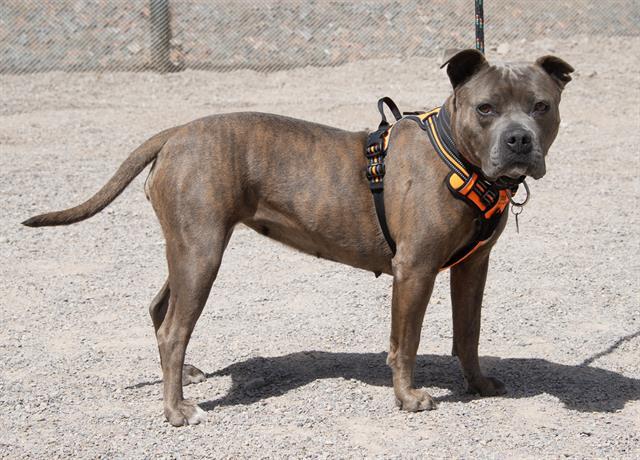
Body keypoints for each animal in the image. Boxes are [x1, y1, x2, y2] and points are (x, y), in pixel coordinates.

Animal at [25, 48, 576, 426]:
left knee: (161, 310)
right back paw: (178, 410)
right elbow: (407, 342)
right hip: (202, 252)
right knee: (174, 329)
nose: (519, 140)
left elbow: (469, 333)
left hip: (185, 250)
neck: (459, 158)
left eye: (541, 106)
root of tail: (175, 132)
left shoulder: (472, 267)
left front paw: (477, 384)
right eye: (486, 109)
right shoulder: (415, 270)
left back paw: (185, 378)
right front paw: (408, 398)